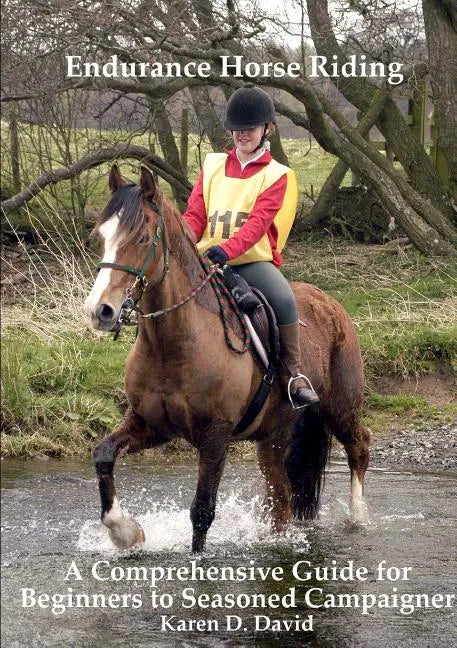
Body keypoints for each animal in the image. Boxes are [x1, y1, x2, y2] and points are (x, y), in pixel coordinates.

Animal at [83, 165, 370, 552]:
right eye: (101, 236)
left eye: (142, 238)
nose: (100, 311)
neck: (173, 344)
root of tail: (330, 302)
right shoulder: (149, 425)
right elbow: (103, 455)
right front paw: (126, 532)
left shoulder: (215, 436)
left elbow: (202, 510)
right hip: (273, 437)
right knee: (282, 498)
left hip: (340, 407)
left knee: (359, 447)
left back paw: (358, 518)